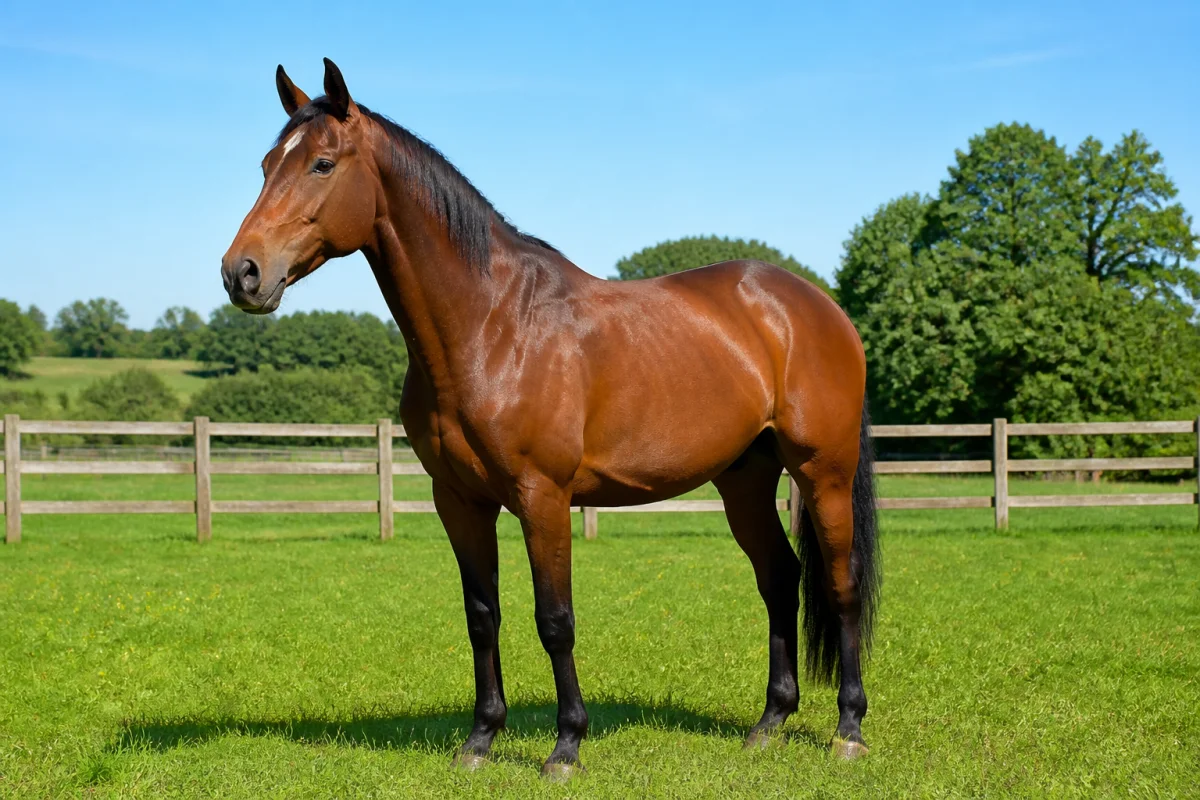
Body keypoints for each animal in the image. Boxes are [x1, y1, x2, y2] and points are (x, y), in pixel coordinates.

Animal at [221, 58, 880, 780]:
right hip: (745, 479)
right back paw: (769, 723)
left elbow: (555, 619)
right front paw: (480, 739)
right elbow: (482, 615)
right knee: (780, 579)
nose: (241, 273)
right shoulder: (460, 500)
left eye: (322, 163)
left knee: (841, 586)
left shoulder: (543, 497)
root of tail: (815, 305)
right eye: (265, 165)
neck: (491, 326)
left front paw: (566, 746)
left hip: (823, 473)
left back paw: (849, 728)